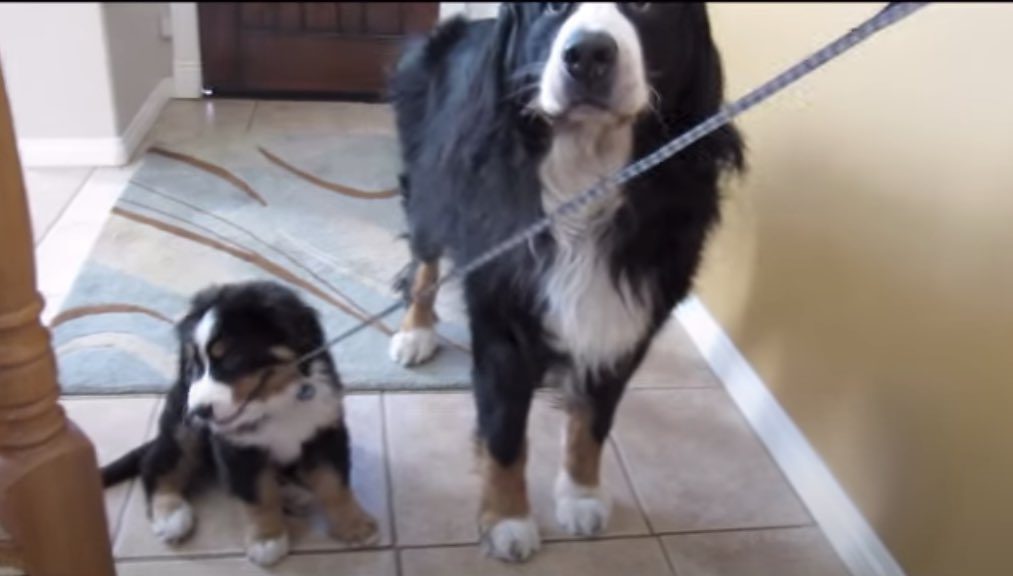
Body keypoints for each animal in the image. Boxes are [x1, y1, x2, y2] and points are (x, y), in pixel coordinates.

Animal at [386, 2, 745, 562]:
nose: (589, 54)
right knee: (425, 259)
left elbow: (595, 417)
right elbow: (505, 432)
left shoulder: (627, 312)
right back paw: (415, 331)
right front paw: (508, 520)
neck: (586, 173)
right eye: (553, 8)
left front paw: (580, 494)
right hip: (428, 181)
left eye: (647, 7)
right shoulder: (503, 316)